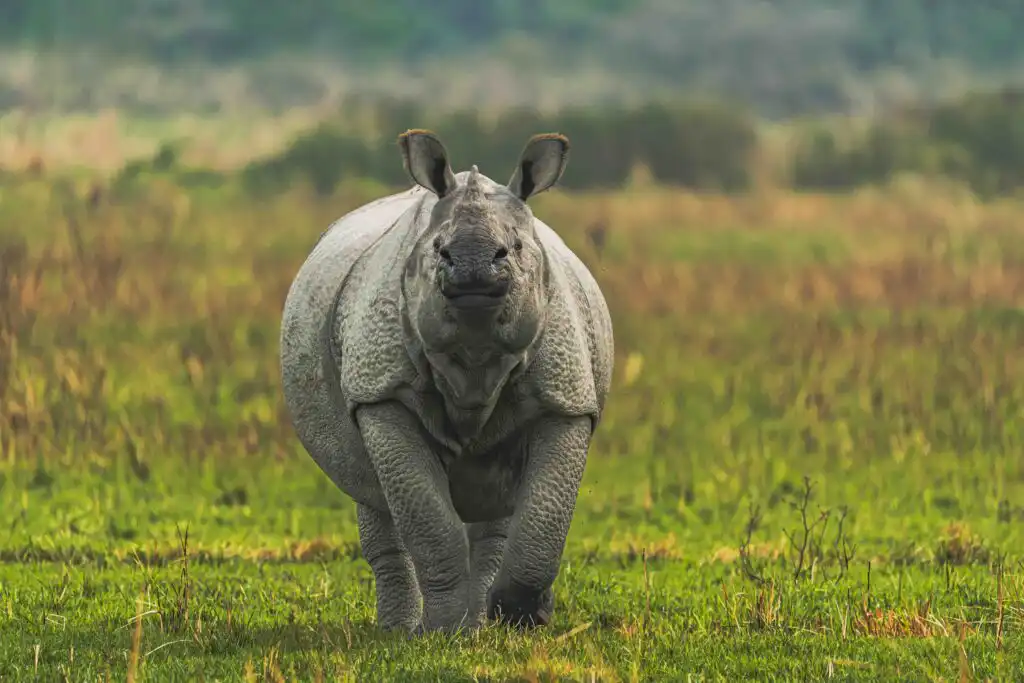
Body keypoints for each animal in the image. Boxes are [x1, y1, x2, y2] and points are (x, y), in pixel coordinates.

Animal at [279, 129, 614, 634]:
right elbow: (428, 519)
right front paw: (440, 631)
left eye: (514, 248)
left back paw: (482, 623)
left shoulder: (566, 396)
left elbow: (545, 513)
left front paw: (522, 618)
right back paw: (402, 630)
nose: (473, 266)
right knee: (370, 492)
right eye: (439, 250)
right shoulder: (381, 393)